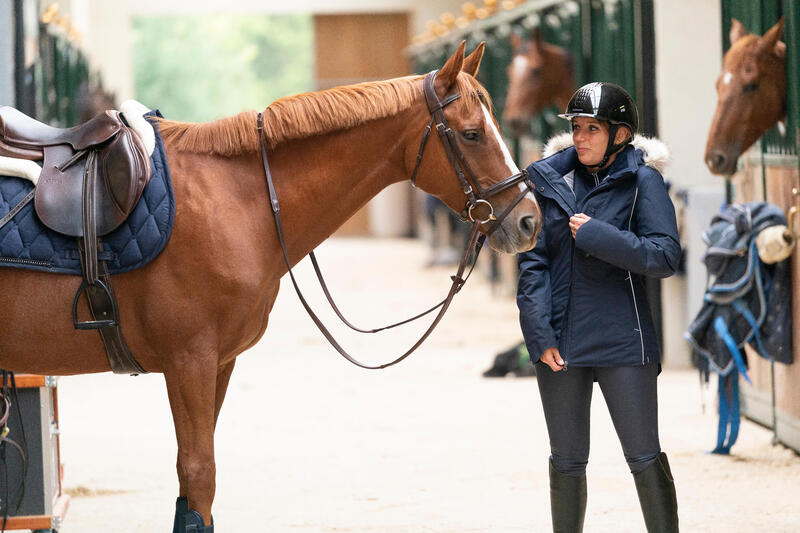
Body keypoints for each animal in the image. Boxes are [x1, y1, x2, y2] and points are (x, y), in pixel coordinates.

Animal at [0, 42, 540, 528]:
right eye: (472, 134)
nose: (529, 220)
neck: (237, 201)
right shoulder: (189, 361)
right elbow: (199, 474)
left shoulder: (217, 363)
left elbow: (190, 483)